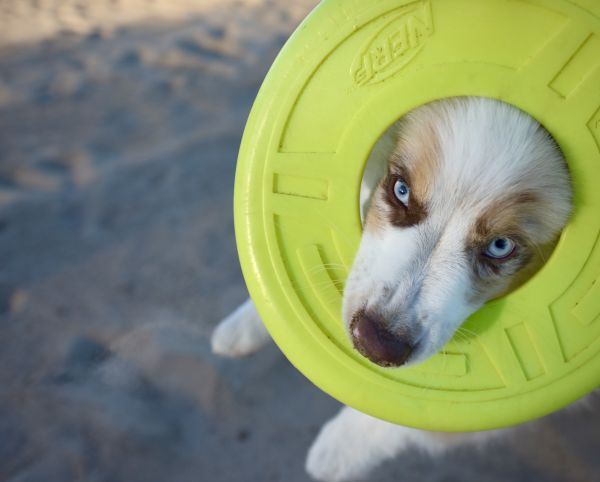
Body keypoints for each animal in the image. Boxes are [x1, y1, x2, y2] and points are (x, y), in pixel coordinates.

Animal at [211, 96, 572, 480]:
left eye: (501, 246)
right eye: (401, 190)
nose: (376, 343)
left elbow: (411, 415)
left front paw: (336, 449)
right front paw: (244, 324)